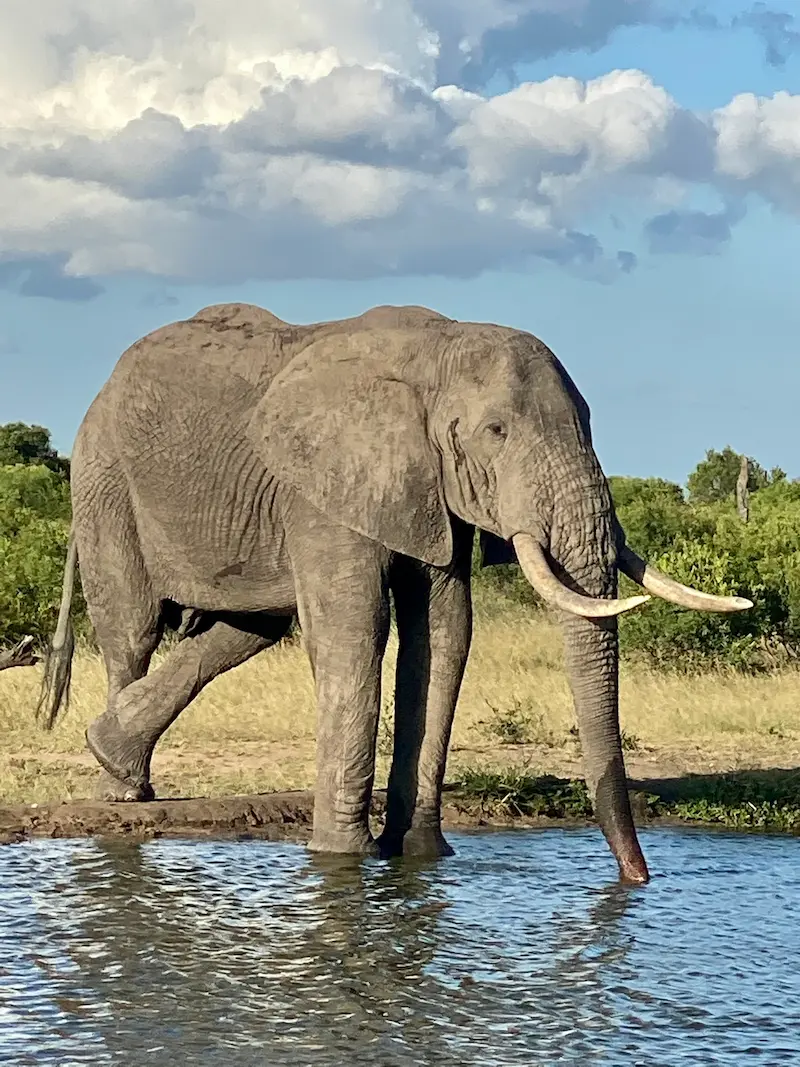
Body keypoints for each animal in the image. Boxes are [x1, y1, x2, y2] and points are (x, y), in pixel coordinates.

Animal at [39, 302, 751, 884]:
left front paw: (419, 855)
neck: (437, 350)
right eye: (495, 432)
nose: (638, 878)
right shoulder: (325, 485)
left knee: (248, 629)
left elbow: (444, 632)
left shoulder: (429, 488)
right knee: (132, 629)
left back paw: (112, 747)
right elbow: (356, 630)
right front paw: (341, 860)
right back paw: (123, 789)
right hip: (105, 481)